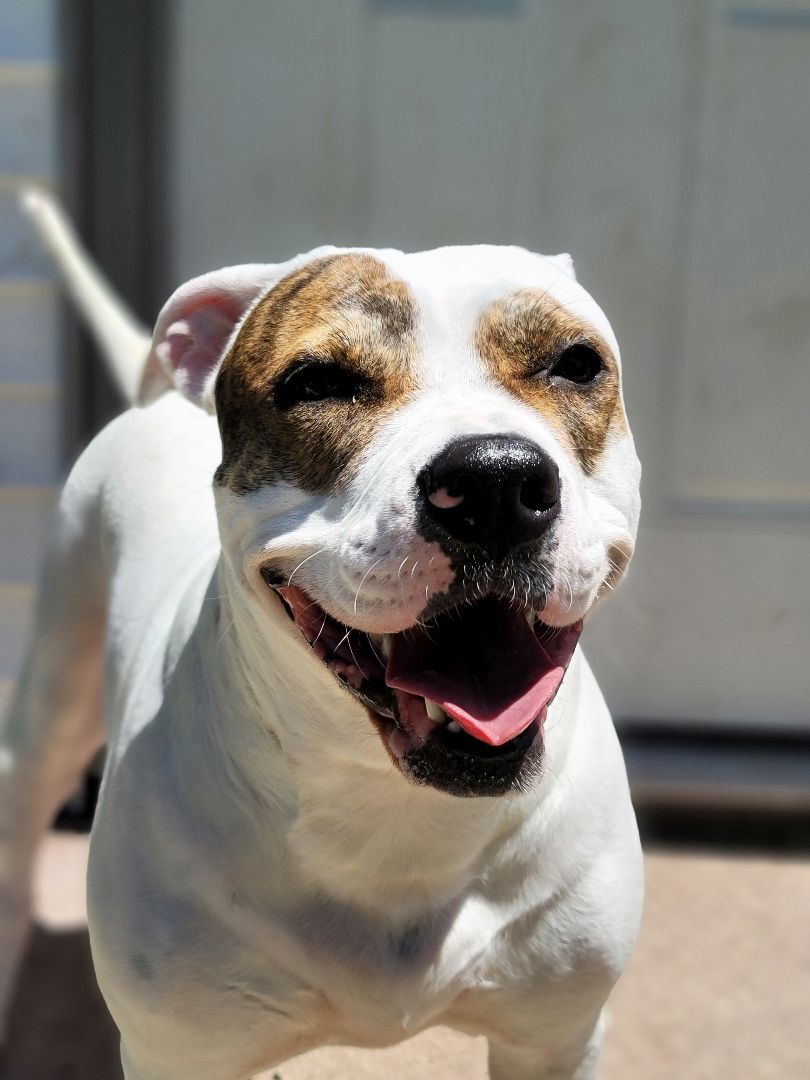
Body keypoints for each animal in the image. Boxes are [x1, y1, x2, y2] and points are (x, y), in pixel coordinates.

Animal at [1, 194, 648, 1080]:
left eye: (576, 364)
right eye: (318, 382)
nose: (494, 482)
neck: (395, 814)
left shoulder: (556, 1041)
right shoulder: (179, 1053)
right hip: (52, 701)